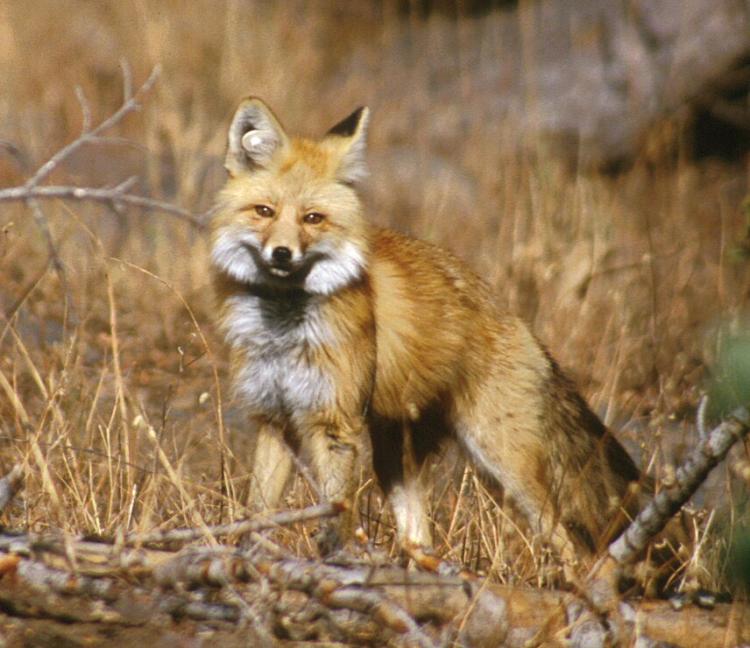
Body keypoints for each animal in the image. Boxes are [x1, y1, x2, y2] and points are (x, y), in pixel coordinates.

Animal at [212, 97, 648, 568]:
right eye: (265, 211)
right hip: (395, 459)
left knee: (569, 544)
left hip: (504, 466)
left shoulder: (335, 424)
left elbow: (334, 515)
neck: (282, 327)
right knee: (421, 538)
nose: (281, 253)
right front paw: (247, 558)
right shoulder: (274, 418)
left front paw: (334, 562)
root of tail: (519, 323)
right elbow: (257, 512)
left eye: (313, 219)